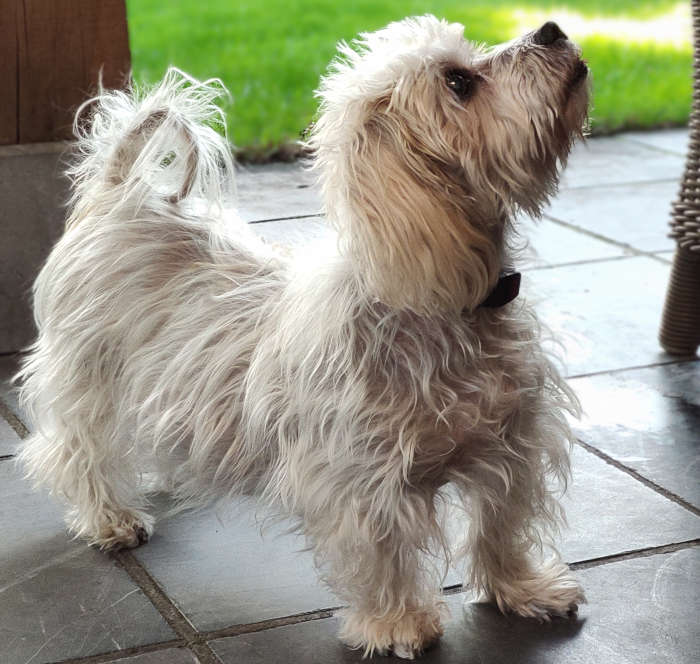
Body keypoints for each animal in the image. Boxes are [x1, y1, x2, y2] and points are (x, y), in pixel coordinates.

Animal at [17, 14, 592, 660]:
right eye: (459, 83)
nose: (551, 28)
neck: (441, 307)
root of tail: (117, 196)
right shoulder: (361, 481)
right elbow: (383, 555)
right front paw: (396, 624)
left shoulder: (512, 445)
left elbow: (503, 527)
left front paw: (523, 589)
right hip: (87, 375)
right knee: (77, 448)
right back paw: (108, 517)